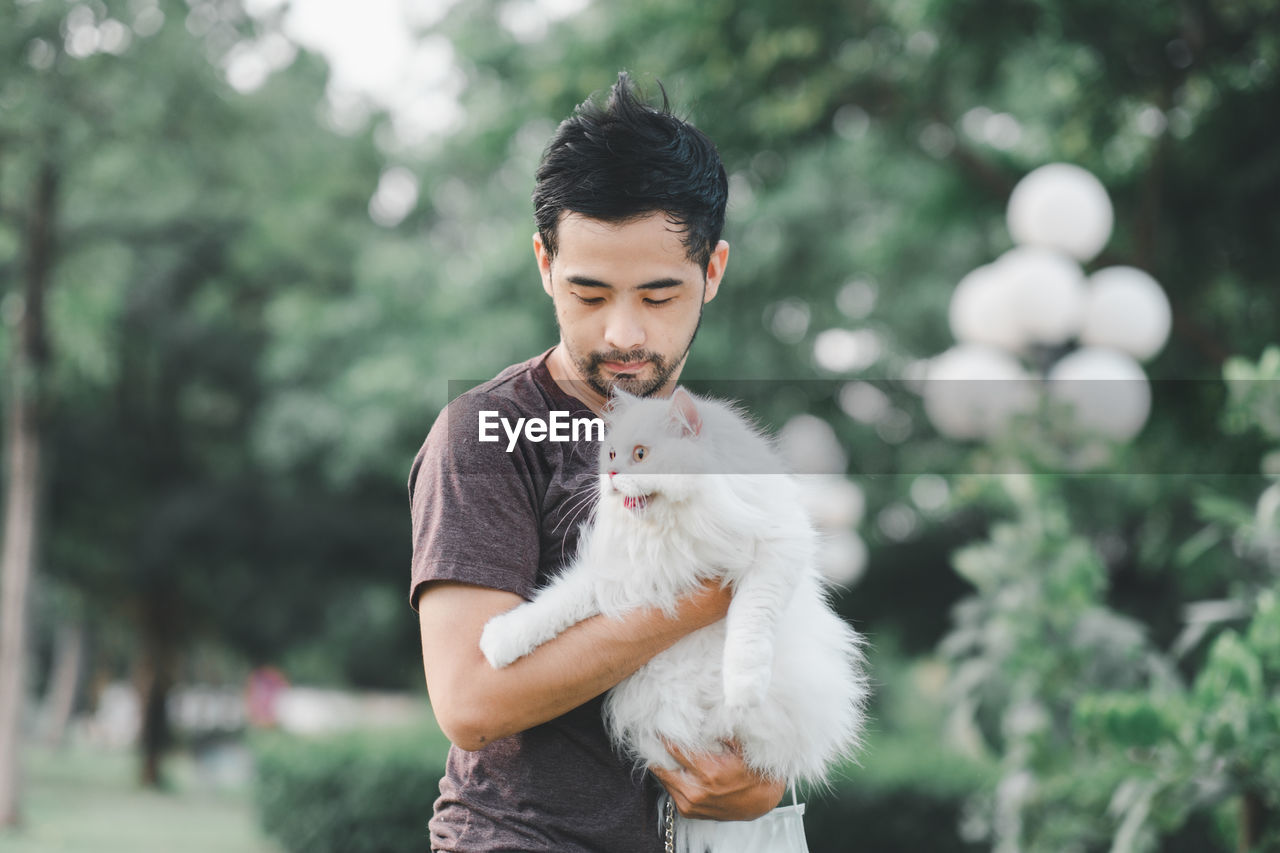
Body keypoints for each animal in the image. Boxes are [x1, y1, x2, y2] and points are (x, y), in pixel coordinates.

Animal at [481, 389, 870, 794]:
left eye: (640, 455)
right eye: (611, 454)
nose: (613, 476)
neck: (673, 528)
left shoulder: (777, 550)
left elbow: (749, 624)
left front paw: (743, 688)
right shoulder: (620, 575)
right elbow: (553, 606)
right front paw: (498, 642)